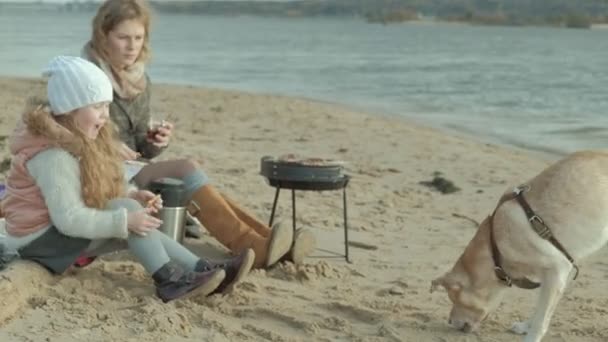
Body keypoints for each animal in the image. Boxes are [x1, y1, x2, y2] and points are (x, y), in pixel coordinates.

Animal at [430, 152, 608, 342]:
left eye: (453, 298)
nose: (449, 321)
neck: (494, 251)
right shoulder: (554, 276)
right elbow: (540, 310)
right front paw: (525, 327)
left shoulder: (557, 271)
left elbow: (541, 318)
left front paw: (531, 337)